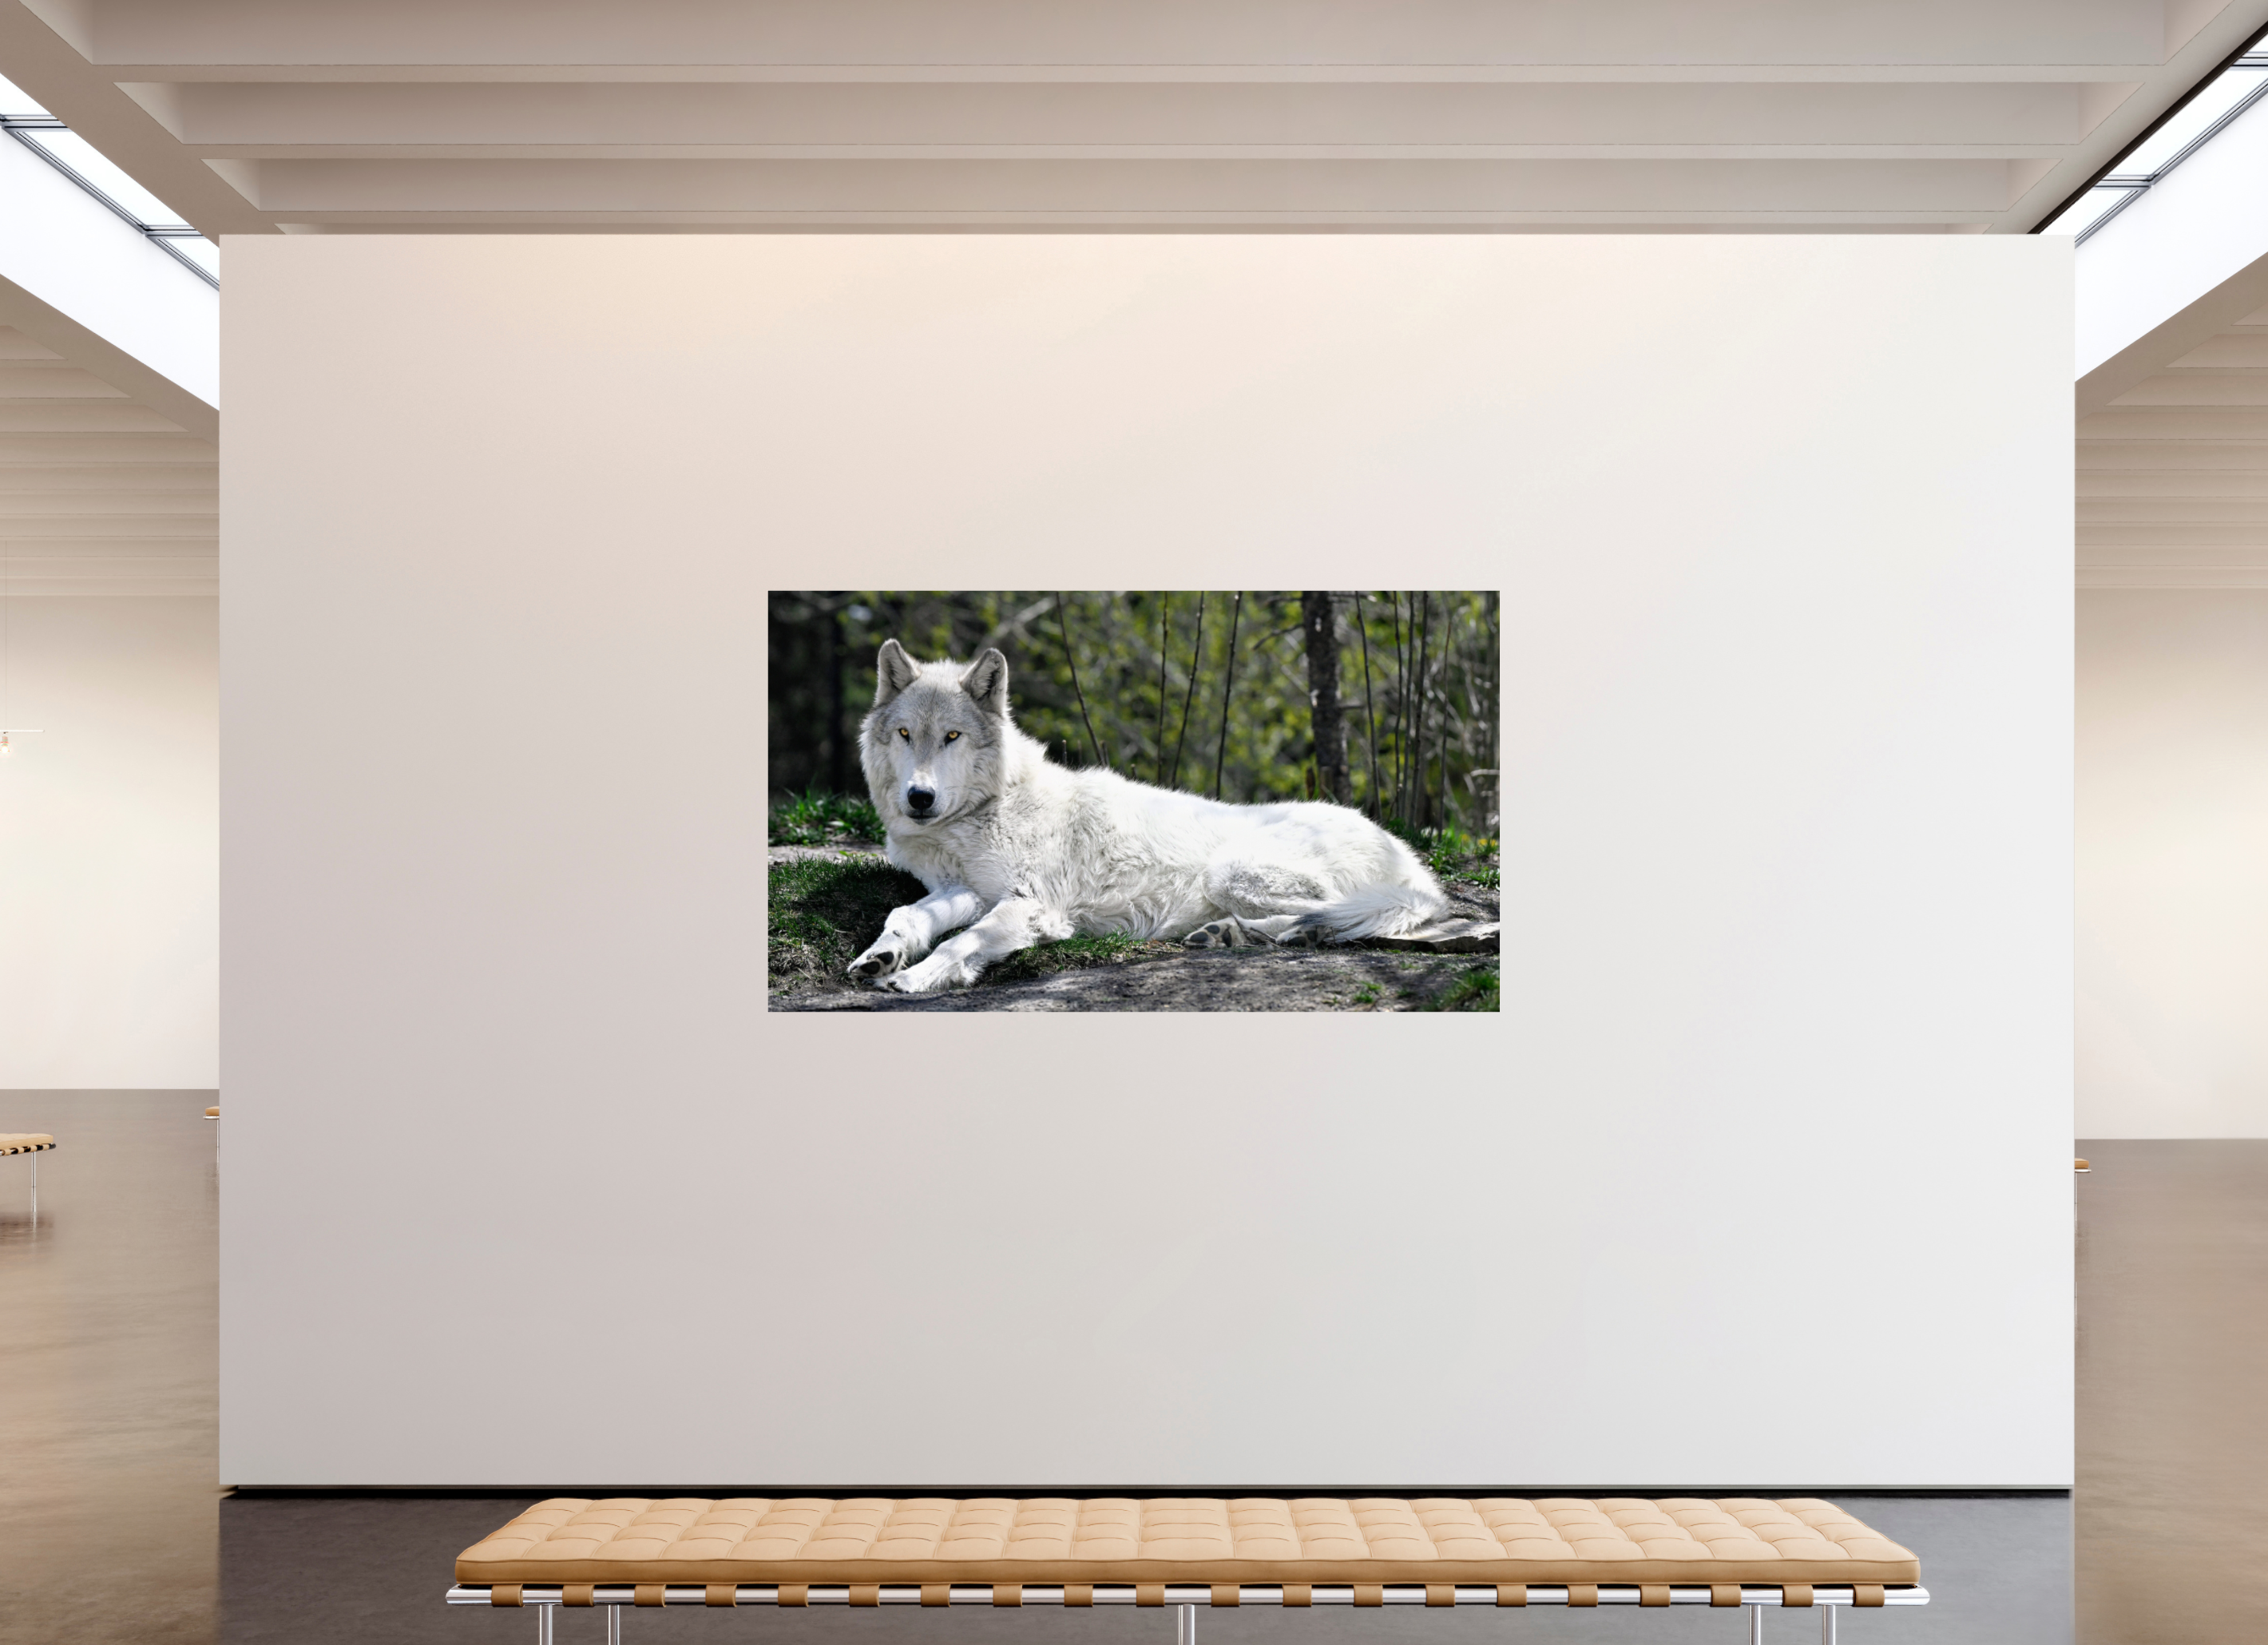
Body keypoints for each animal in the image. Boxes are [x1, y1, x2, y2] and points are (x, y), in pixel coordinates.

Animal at [846, 638, 1478, 993]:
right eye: (906, 734)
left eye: (952, 736)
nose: (919, 798)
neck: (987, 810)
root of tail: (1414, 863)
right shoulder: (968, 890)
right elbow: (908, 914)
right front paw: (880, 956)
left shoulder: (1031, 905)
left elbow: (959, 944)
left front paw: (915, 977)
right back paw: (1231, 934)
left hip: (1233, 872)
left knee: (1341, 914)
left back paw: (1256, 932)